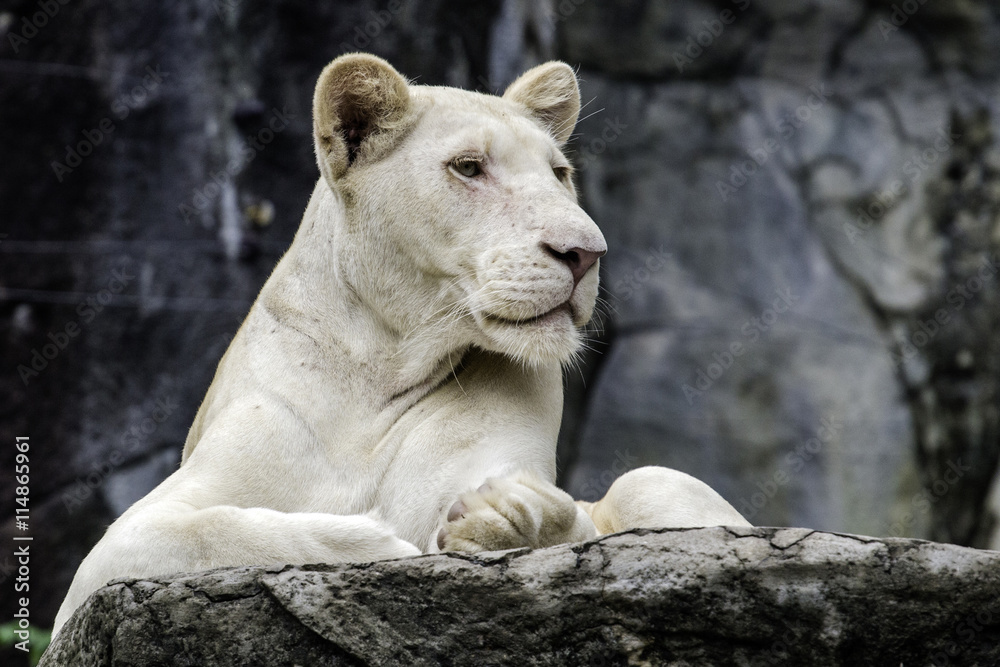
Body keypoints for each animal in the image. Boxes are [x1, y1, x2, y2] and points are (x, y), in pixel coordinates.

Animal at [53, 54, 749, 635]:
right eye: (469, 167)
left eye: (559, 173)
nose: (586, 253)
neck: (379, 370)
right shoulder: (110, 558)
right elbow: (210, 531)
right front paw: (377, 541)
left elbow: (571, 522)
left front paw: (512, 516)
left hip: (653, 481)